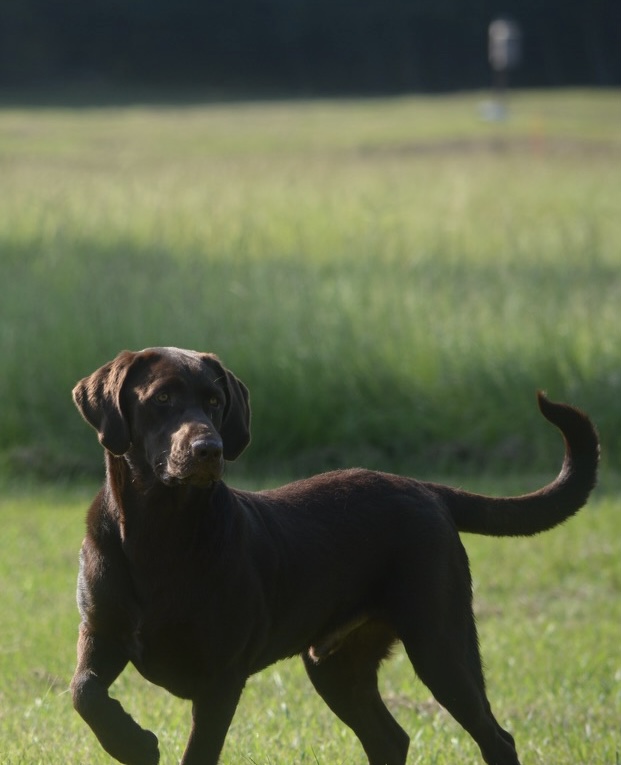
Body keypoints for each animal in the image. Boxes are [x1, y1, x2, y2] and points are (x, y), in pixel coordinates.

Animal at [70, 348, 600, 764]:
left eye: (214, 402)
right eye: (161, 399)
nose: (209, 448)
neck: (157, 536)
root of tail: (426, 489)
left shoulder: (222, 677)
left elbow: (198, 752)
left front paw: (138, 744)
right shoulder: (101, 634)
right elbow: (83, 693)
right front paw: (133, 743)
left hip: (440, 642)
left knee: (496, 737)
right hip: (336, 665)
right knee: (390, 739)